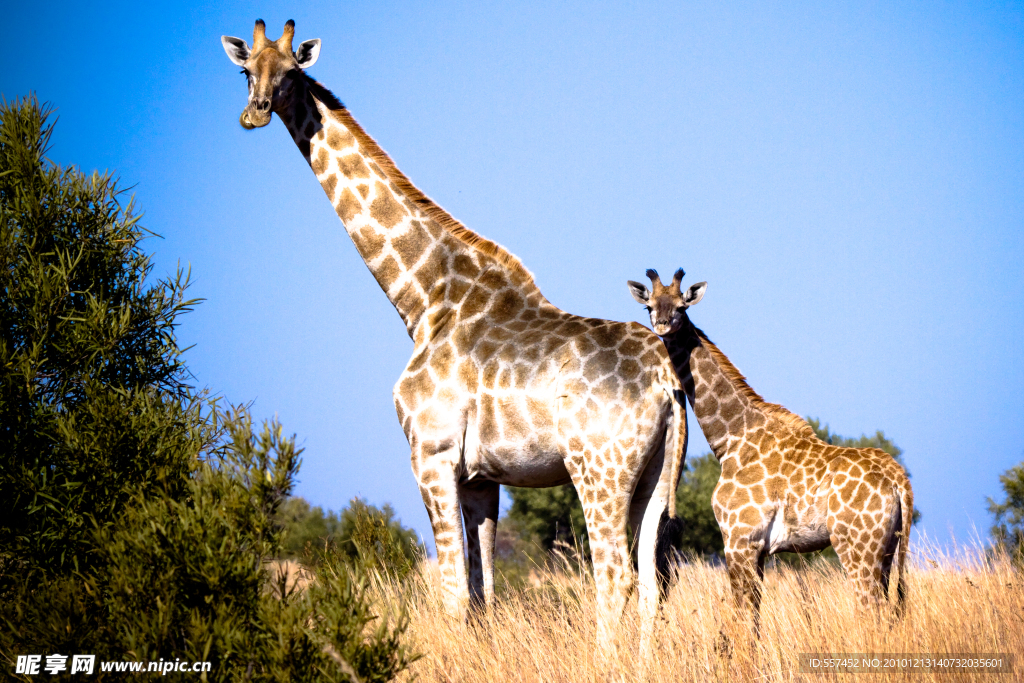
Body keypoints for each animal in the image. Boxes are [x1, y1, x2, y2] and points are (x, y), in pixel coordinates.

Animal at [222, 21, 688, 651]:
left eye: (292, 72)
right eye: (246, 70)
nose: (255, 113)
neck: (422, 300)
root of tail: (667, 382)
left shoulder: (431, 454)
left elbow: (450, 596)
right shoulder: (482, 479)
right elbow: (483, 592)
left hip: (598, 468)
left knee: (614, 576)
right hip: (654, 481)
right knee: (651, 583)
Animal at [626, 270, 917, 626]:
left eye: (682, 306)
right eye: (649, 306)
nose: (663, 324)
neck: (731, 437)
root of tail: (899, 481)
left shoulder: (739, 539)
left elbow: (742, 617)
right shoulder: (757, 549)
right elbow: (753, 617)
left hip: (857, 548)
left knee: (871, 610)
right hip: (888, 551)